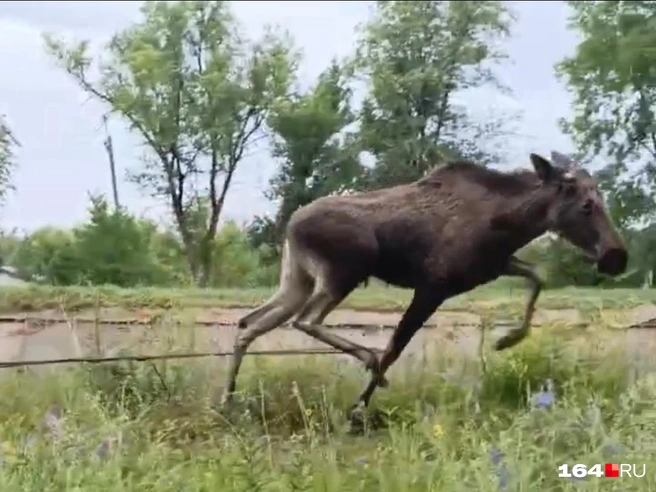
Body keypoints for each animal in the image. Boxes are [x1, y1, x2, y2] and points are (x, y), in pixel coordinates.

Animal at [220, 151, 628, 422]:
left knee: (248, 324)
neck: (509, 225)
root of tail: (290, 225)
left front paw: (507, 339)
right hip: (342, 273)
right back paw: (365, 362)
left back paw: (228, 400)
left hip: (298, 280)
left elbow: (539, 276)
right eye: (587, 205)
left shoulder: (495, 267)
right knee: (305, 321)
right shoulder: (434, 286)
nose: (616, 256)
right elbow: (393, 349)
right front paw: (358, 409)